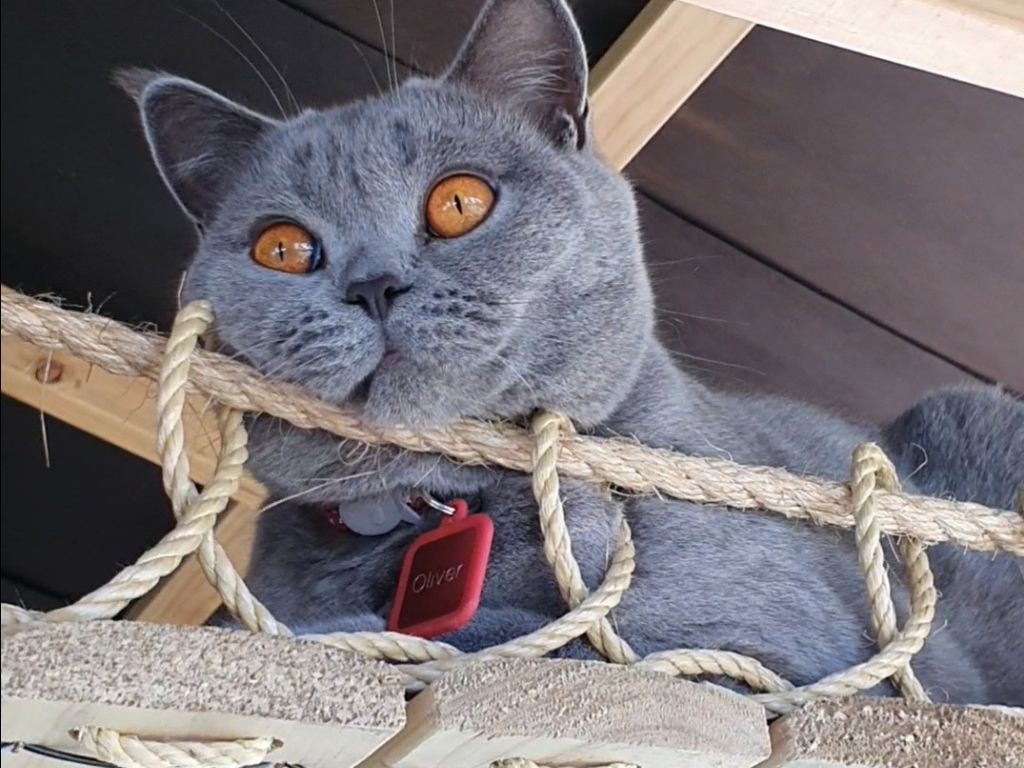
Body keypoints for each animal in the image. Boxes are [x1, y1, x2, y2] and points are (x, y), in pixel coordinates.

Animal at [121, 0, 1024, 708]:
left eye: (458, 202)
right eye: (282, 249)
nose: (374, 284)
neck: (430, 506)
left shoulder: (765, 643)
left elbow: (532, 638)